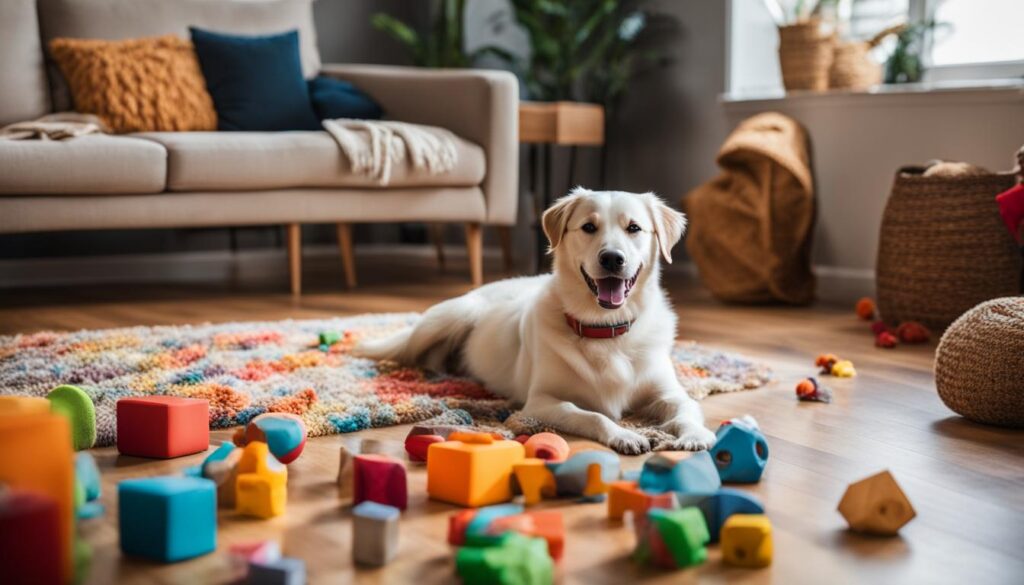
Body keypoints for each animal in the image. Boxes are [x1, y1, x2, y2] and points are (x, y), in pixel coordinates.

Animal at [356, 189, 716, 454]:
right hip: (452, 316)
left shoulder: (670, 393)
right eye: (589, 227)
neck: (606, 329)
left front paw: (695, 435)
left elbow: (686, 411)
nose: (612, 258)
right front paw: (624, 435)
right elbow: (591, 415)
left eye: (634, 228)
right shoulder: (540, 403)